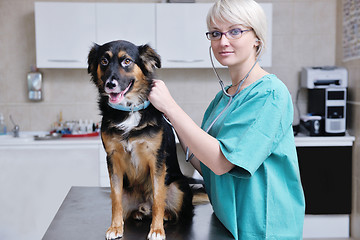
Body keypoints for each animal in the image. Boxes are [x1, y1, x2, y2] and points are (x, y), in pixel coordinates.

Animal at [88, 40, 198, 239]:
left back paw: (167, 215)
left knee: (178, 210)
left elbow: (158, 197)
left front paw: (157, 230)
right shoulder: (112, 158)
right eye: (103, 61)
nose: (110, 84)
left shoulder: (156, 159)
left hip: (178, 187)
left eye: (127, 61)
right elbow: (115, 199)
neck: (129, 109)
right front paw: (115, 227)